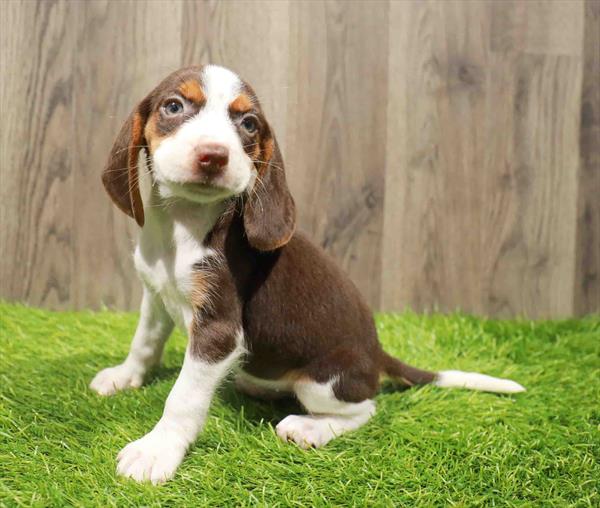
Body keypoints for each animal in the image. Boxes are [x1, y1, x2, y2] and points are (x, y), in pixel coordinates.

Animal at [90, 64, 524, 484]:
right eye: (174, 106)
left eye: (249, 124)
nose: (214, 155)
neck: (182, 225)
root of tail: (376, 353)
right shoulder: (156, 297)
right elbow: (144, 341)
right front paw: (124, 376)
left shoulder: (218, 330)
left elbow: (183, 397)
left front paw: (156, 451)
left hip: (321, 383)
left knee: (366, 408)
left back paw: (309, 427)